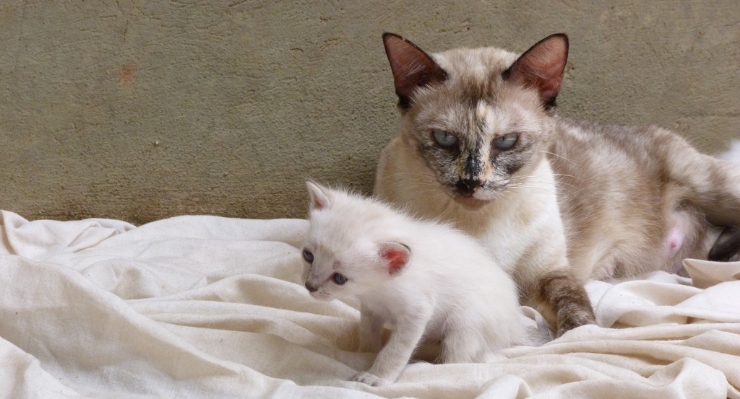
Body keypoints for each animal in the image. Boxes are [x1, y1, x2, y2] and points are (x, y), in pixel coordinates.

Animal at [302, 182, 528, 388]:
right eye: (308, 256)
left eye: (339, 278)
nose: (310, 286)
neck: (378, 290)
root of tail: (515, 325)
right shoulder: (370, 309)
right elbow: (368, 333)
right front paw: (365, 353)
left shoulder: (417, 312)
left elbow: (396, 350)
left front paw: (377, 376)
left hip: (465, 323)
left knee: (461, 361)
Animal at [372, 32, 740, 336]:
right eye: (445, 139)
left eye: (506, 142)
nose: (471, 182)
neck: (480, 223)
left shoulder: (549, 274)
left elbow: (575, 312)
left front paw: (578, 338)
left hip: (712, 187)